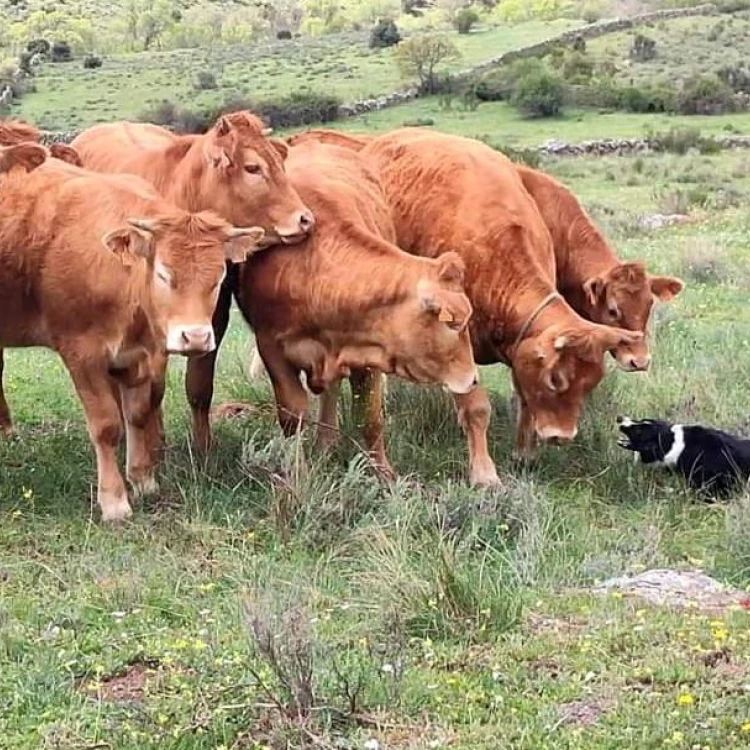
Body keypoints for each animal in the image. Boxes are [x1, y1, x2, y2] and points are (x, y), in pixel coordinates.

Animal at [0, 150, 266, 520]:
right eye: (163, 275)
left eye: (218, 278)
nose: (196, 337)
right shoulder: (83, 355)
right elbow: (107, 426)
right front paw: (114, 500)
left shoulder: (139, 355)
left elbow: (138, 415)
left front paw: (142, 480)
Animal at [72, 111, 316, 452]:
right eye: (253, 168)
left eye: (280, 162)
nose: (306, 219)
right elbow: (152, 394)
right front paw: (154, 447)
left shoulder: (212, 318)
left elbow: (199, 387)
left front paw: (203, 449)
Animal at [238, 138, 478, 472]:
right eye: (453, 323)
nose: (473, 379)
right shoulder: (272, 349)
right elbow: (292, 418)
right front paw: (296, 474)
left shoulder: (367, 351)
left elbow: (370, 419)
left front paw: (385, 476)